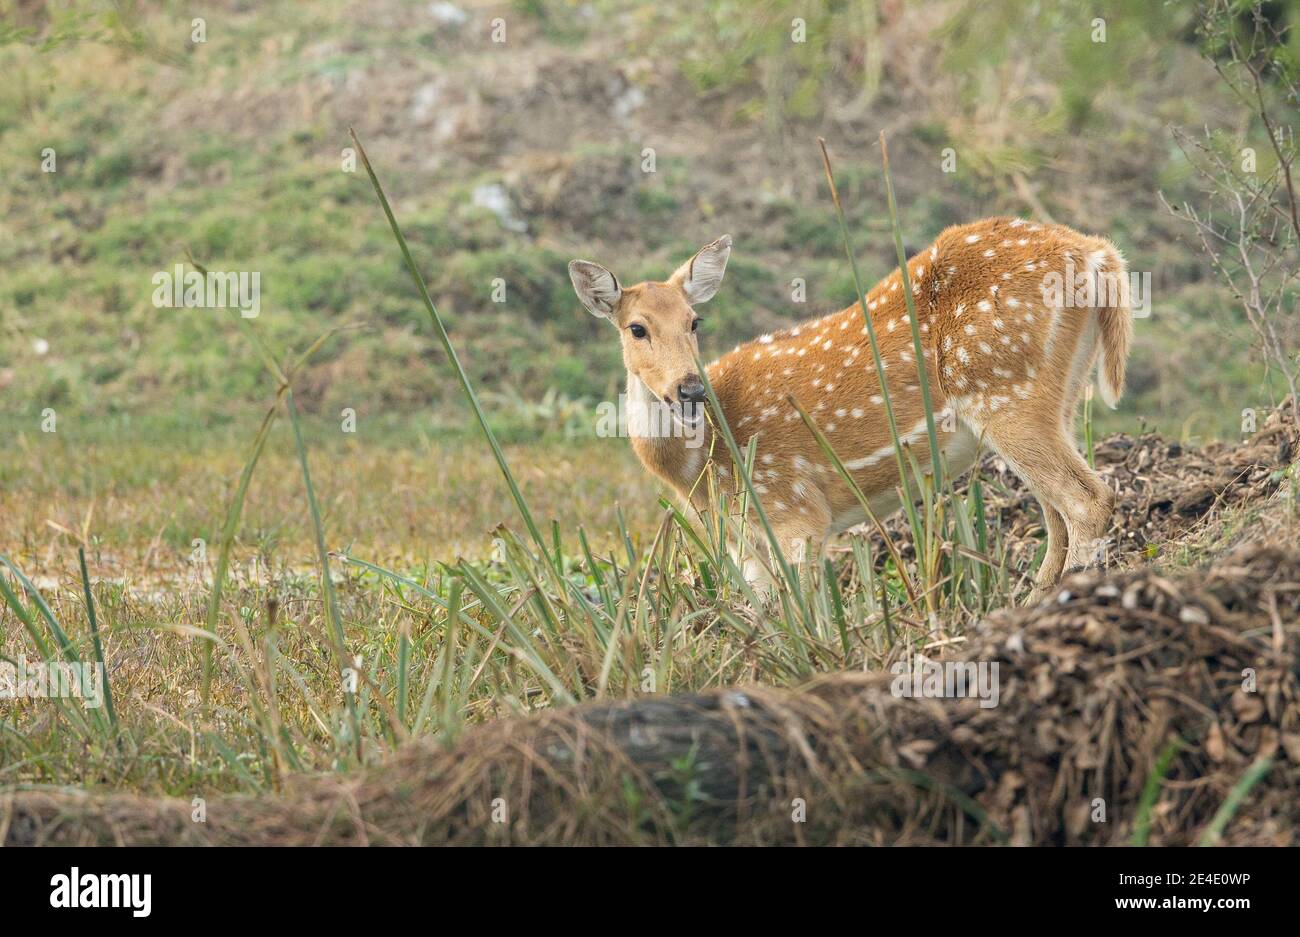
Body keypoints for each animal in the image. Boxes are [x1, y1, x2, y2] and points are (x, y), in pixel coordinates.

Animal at [568, 217, 1133, 602]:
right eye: (636, 328)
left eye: (694, 320)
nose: (688, 389)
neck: (701, 464)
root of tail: (1099, 254)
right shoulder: (742, 535)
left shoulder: (793, 505)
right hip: (1057, 396)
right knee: (1058, 512)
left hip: (1005, 389)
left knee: (1088, 500)